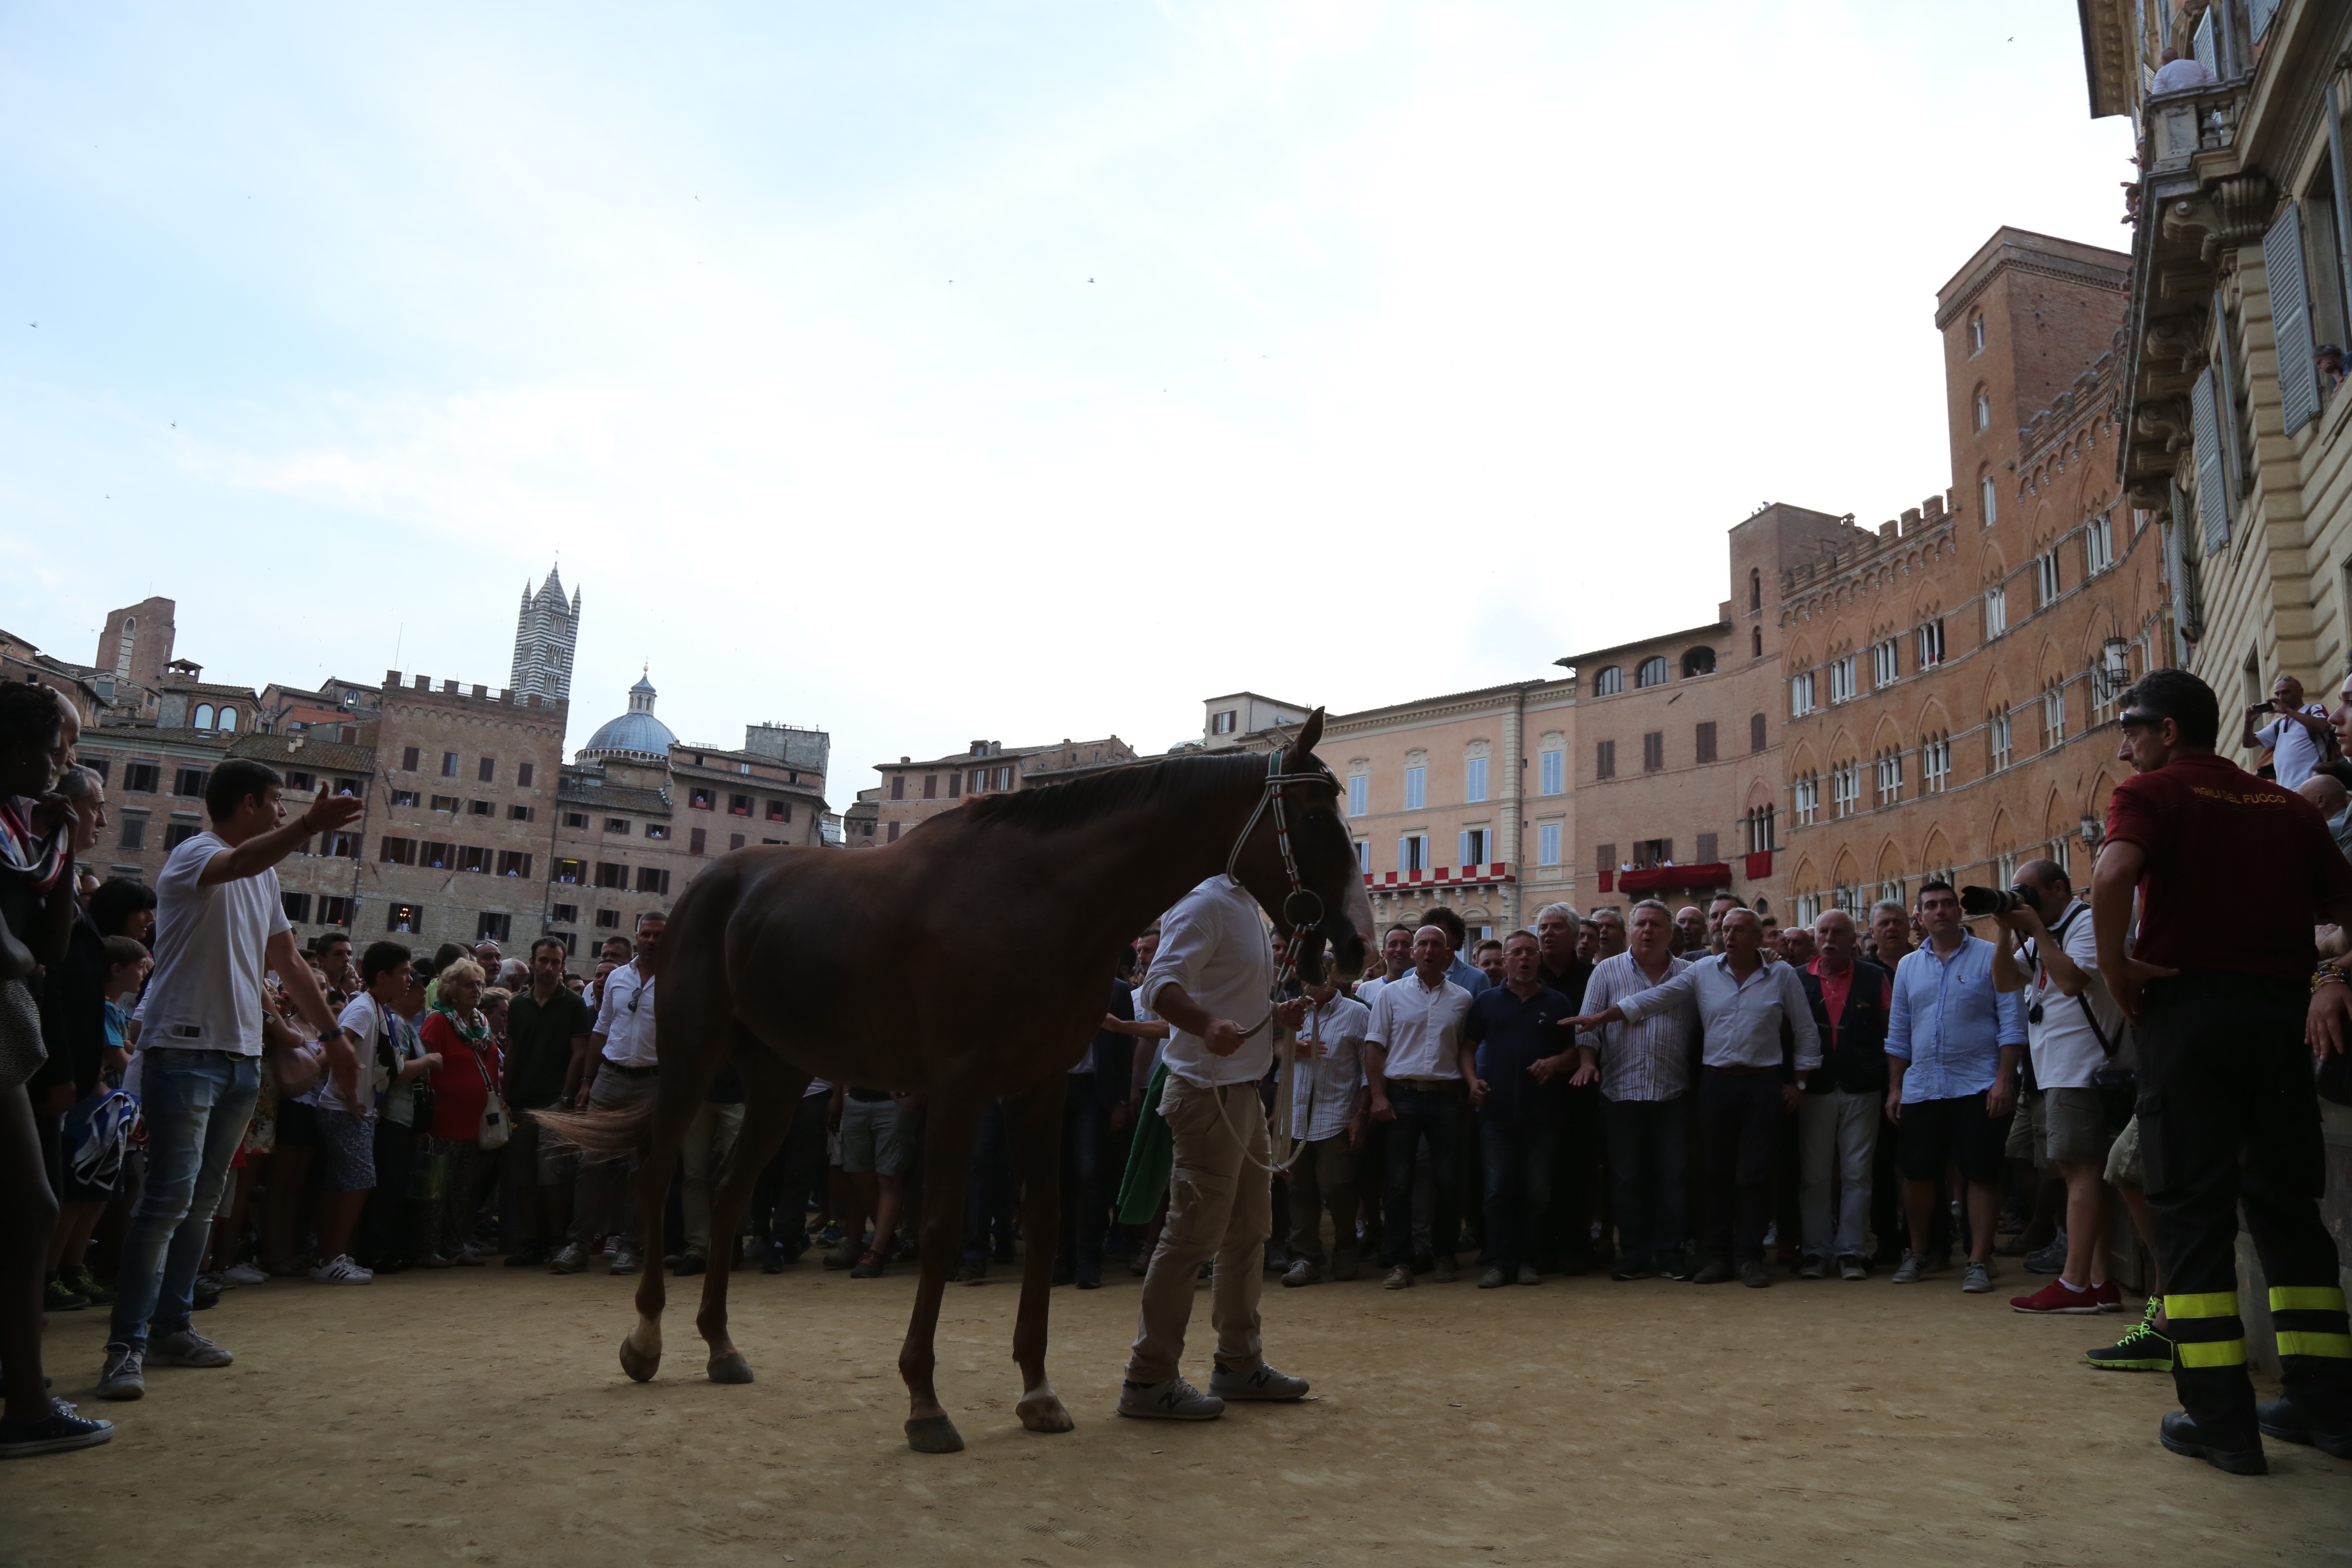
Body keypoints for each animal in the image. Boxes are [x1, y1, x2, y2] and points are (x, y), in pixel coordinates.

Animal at [533, 708, 1373, 1453]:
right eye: (1313, 815)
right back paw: (646, 1338)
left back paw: (720, 1346)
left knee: (736, 1189)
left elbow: (1044, 1224)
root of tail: (715, 885)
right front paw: (925, 1403)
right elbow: (939, 1229)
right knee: (653, 1174)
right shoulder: (960, 1089)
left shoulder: (1038, 1089)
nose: (1355, 943)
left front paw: (1037, 1392)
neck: (1043, 899)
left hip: (777, 1078)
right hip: (692, 1053)